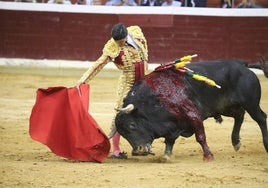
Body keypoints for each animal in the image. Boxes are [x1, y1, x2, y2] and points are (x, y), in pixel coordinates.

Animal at [115, 60, 268, 162]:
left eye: (132, 125)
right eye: (123, 134)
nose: (138, 151)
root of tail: (243, 66)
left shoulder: (193, 115)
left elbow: (200, 136)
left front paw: (208, 156)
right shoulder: (173, 123)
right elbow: (169, 140)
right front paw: (166, 156)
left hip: (251, 103)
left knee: (260, 118)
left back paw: (265, 145)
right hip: (224, 106)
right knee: (239, 115)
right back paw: (236, 142)